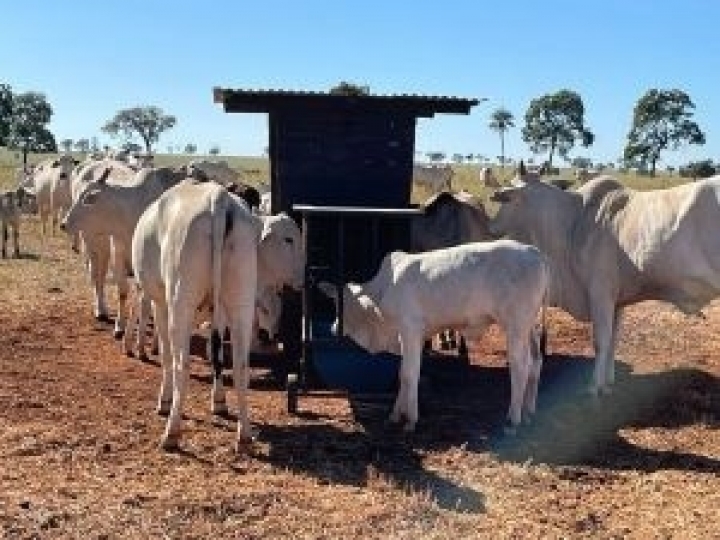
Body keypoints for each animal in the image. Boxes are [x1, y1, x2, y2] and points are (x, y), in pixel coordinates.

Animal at [132, 181, 304, 452]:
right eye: (288, 239)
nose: (303, 276)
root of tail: (218, 197)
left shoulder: (162, 305)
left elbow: (168, 357)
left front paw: (165, 401)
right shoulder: (221, 314)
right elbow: (217, 355)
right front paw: (219, 401)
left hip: (181, 304)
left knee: (182, 365)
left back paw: (172, 432)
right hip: (239, 305)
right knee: (240, 366)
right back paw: (244, 437)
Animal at [318, 240, 548, 430]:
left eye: (340, 303)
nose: (333, 327)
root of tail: (535, 252)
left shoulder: (410, 330)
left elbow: (409, 374)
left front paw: (410, 420)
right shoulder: (410, 336)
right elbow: (402, 374)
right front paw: (395, 415)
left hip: (516, 326)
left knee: (521, 366)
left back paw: (513, 419)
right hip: (530, 328)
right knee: (536, 362)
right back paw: (529, 413)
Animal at [490, 160, 720, 392]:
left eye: (506, 198)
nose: (491, 227)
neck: (573, 221)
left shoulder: (600, 293)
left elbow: (600, 342)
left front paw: (595, 387)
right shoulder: (618, 301)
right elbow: (613, 341)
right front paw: (608, 382)